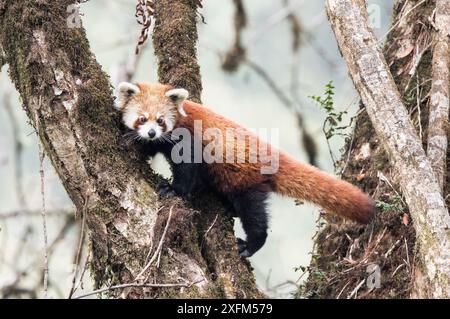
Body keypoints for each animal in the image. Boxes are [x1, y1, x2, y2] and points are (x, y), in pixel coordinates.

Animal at [116, 82, 376, 258]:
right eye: (142, 119)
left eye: (160, 120)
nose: (152, 132)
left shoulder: (187, 139)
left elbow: (187, 169)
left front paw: (173, 189)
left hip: (245, 181)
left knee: (254, 216)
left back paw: (250, 245)